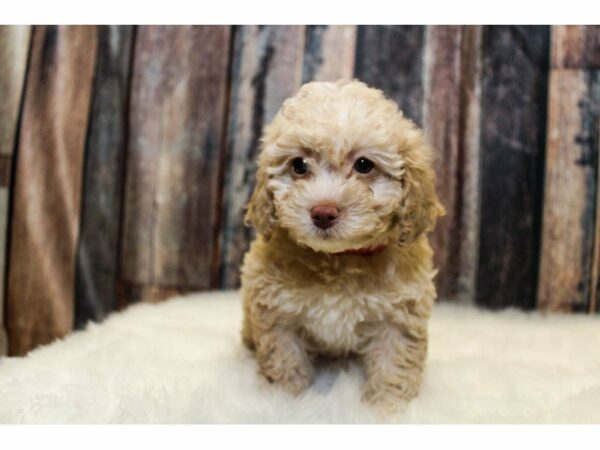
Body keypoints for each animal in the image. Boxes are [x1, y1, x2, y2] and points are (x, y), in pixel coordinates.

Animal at [240, 80, 446, 412]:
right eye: (299, 165)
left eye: (364, 165)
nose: (323, 212)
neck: (339, 259)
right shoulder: (279, 314)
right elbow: (285, 358)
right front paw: (284, 401)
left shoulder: (399, 316)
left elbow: (393, 364)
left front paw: (386, 409)